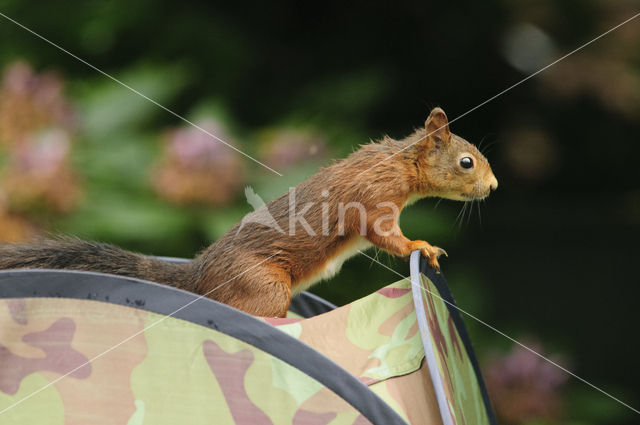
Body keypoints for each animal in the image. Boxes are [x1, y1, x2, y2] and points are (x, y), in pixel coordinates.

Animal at [0, 107, 496, 316]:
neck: (401, 163)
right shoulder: (374, 197)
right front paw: (422, 245)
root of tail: (199, 275)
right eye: (466, 162)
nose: (493, 186)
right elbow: (385, 234)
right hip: (264, 287)